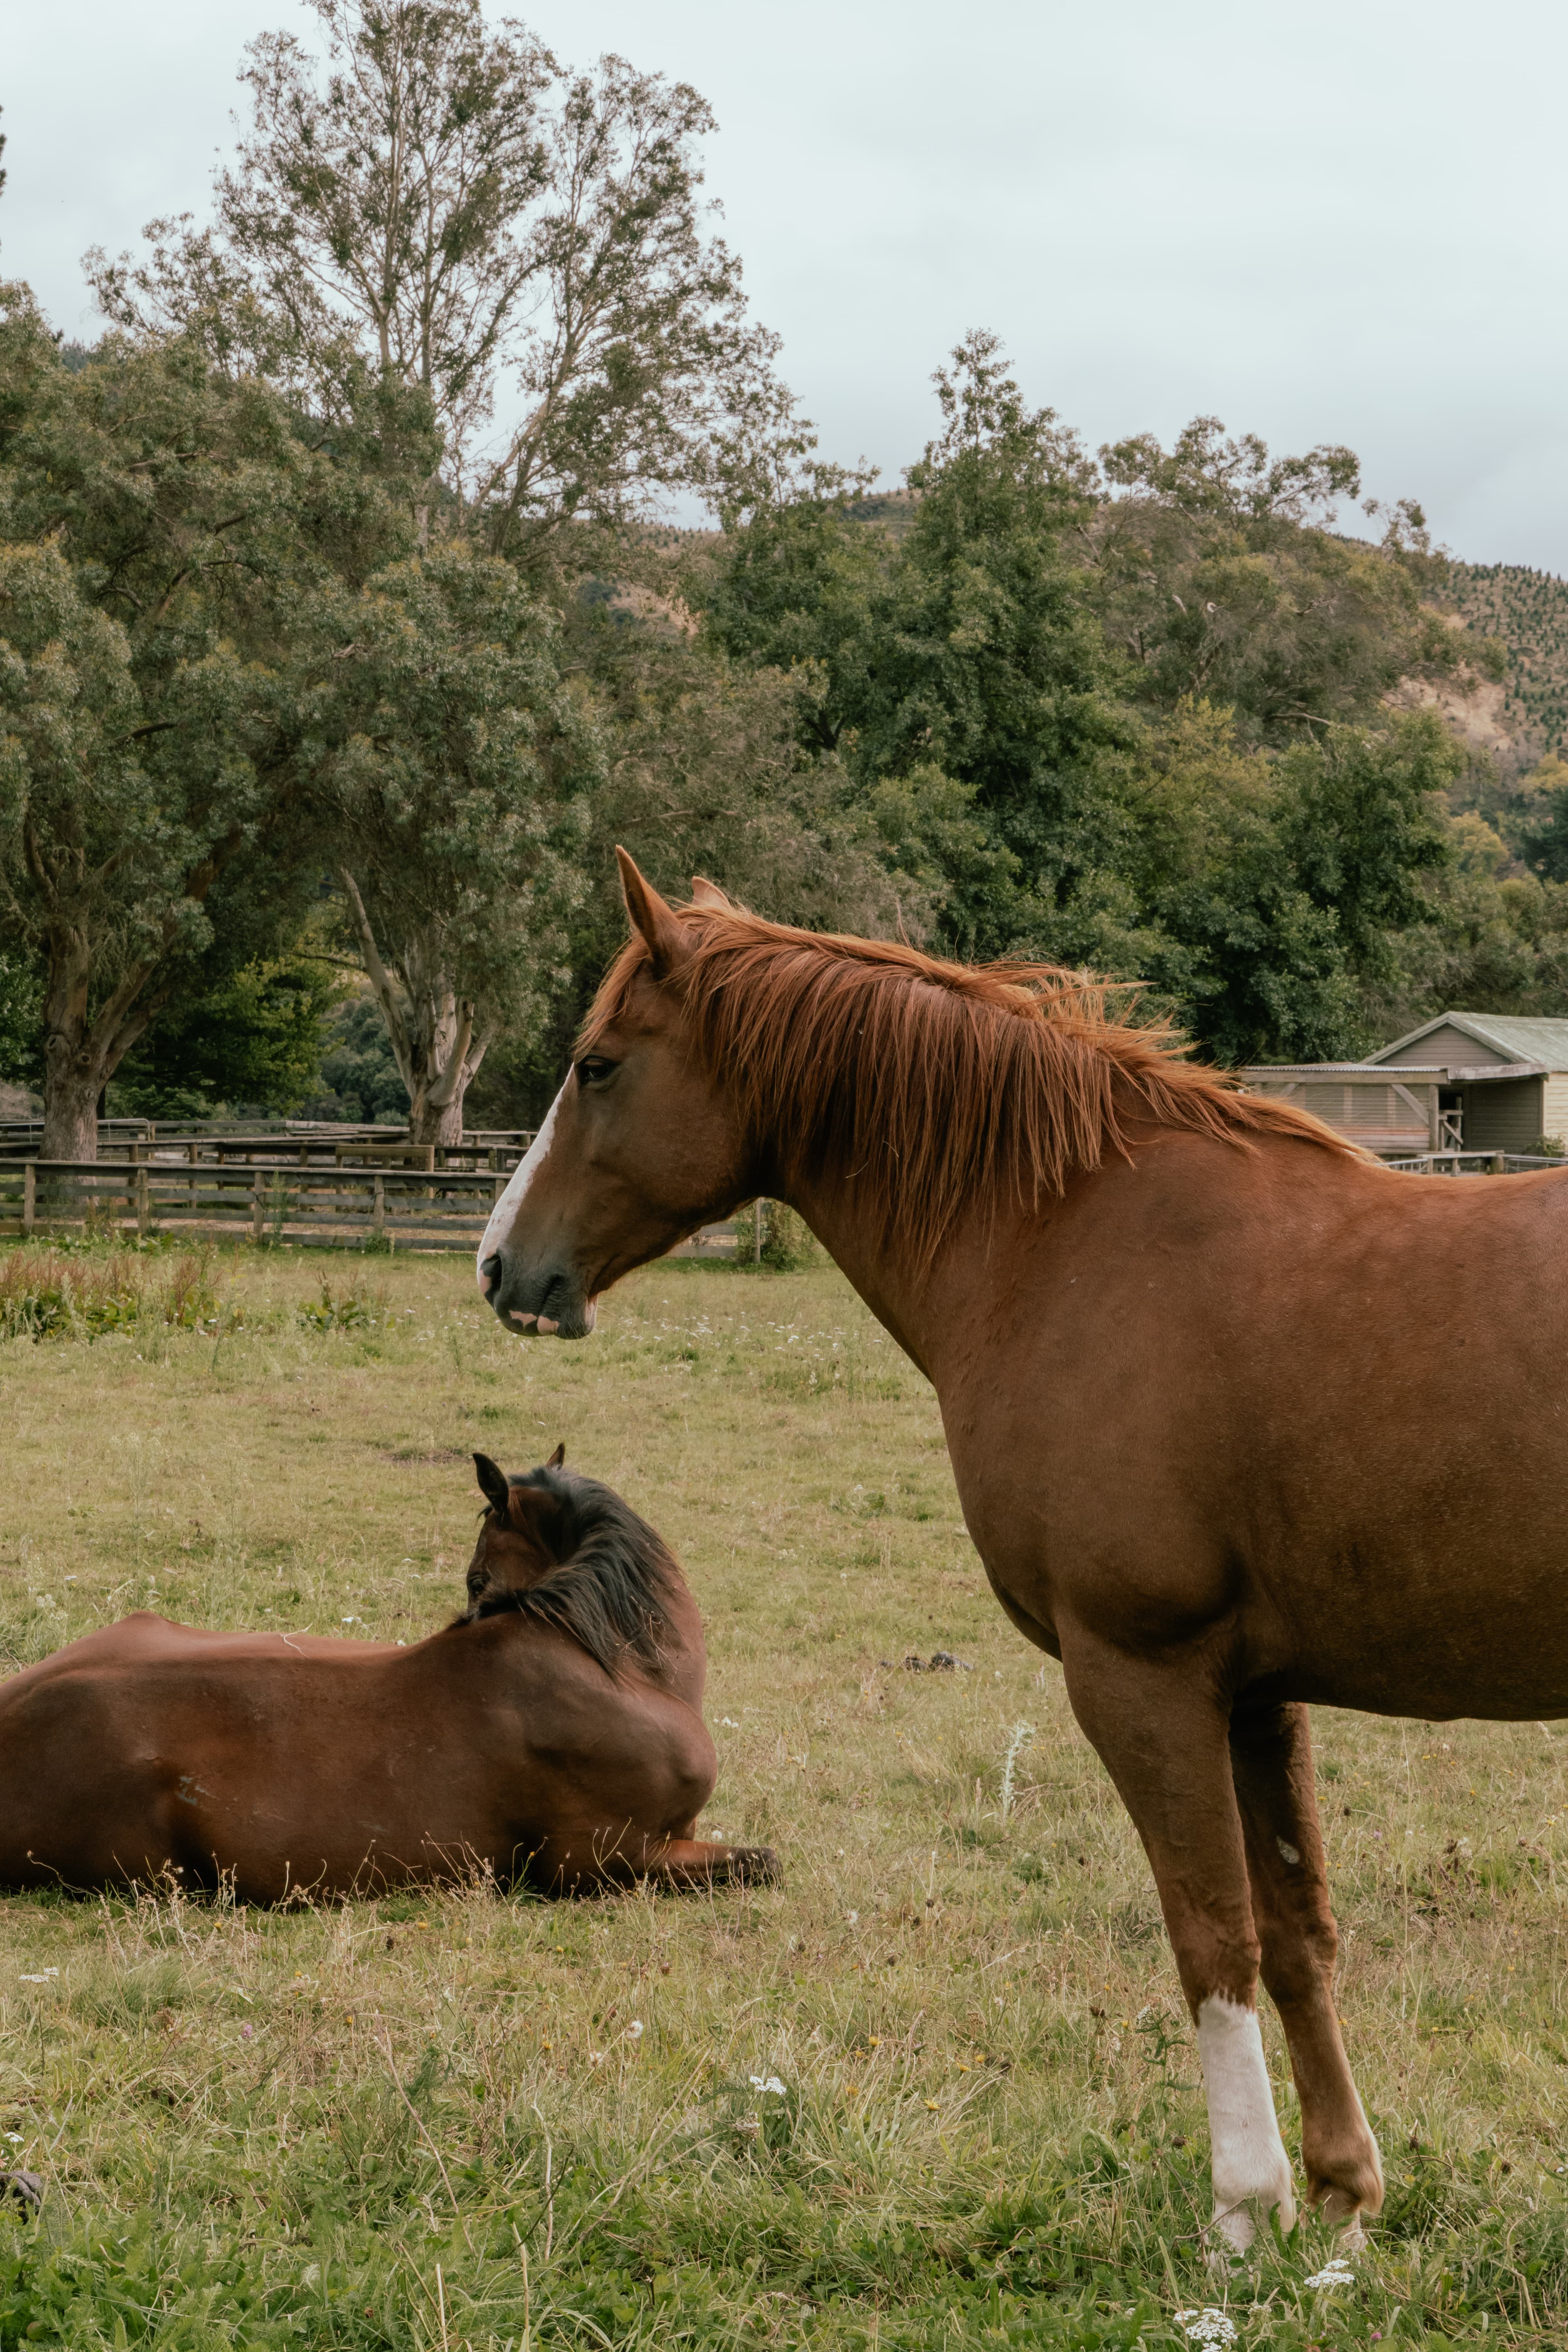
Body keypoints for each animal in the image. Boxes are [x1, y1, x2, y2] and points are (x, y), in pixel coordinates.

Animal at [476, 849, 1568, 2256]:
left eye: (597, 1064)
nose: (501, 1263)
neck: (1068, 1239)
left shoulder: (1142, 1676)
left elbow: (1209, 1939)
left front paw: (1242, 2211)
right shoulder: (1255, 1695)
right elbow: (1293, 1933)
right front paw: (1338, 2200)